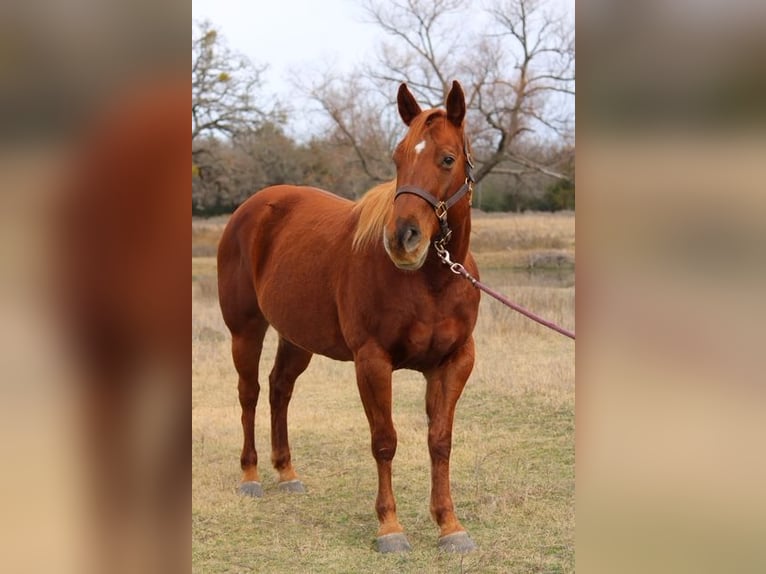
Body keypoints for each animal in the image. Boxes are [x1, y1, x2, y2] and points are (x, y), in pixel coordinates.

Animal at [217, 81, 480, 553]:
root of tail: (253, 206)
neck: (433, 283)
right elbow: (385, 441)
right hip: (245, 330)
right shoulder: (372, 362)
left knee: (279, 389)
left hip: (296, 337)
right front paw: (390, 528)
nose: (403, 239)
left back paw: (286, 471)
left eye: (447, 159)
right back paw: (251, 475)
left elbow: (440, 441)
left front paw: (450, 525)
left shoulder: (454, 363)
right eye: (398, 158)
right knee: (249, 393)